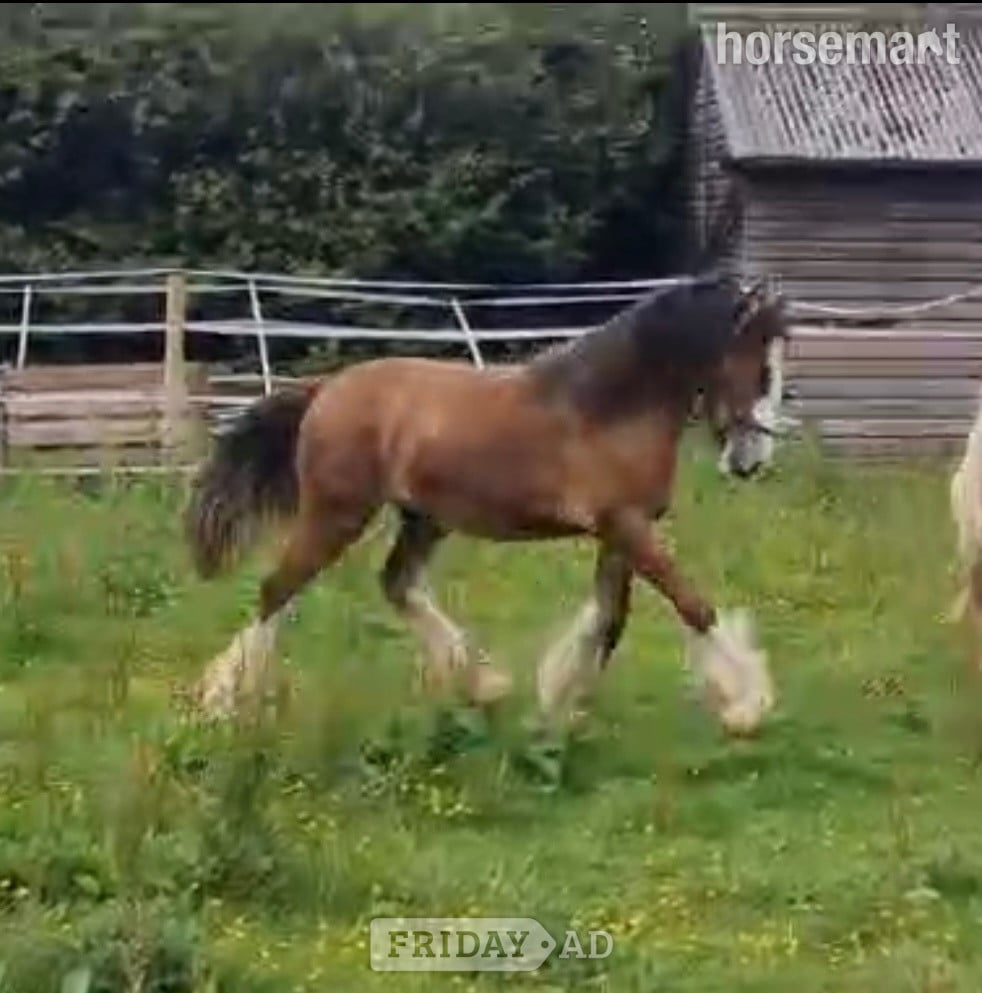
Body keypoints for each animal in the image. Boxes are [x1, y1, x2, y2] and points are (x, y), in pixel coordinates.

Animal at [183, 273, 792, 737]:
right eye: (761, 367)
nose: (753, 460)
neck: (606, 408)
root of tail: (324, 391)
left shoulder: (621, 530)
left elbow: (608, 619)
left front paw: (560, 704)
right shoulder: (626, 525)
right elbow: (692, 605)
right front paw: (746, 706)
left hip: (423, 519)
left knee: (395, 584)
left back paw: (483, 684)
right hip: (337, 514)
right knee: (276, 591)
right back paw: (220, 702)